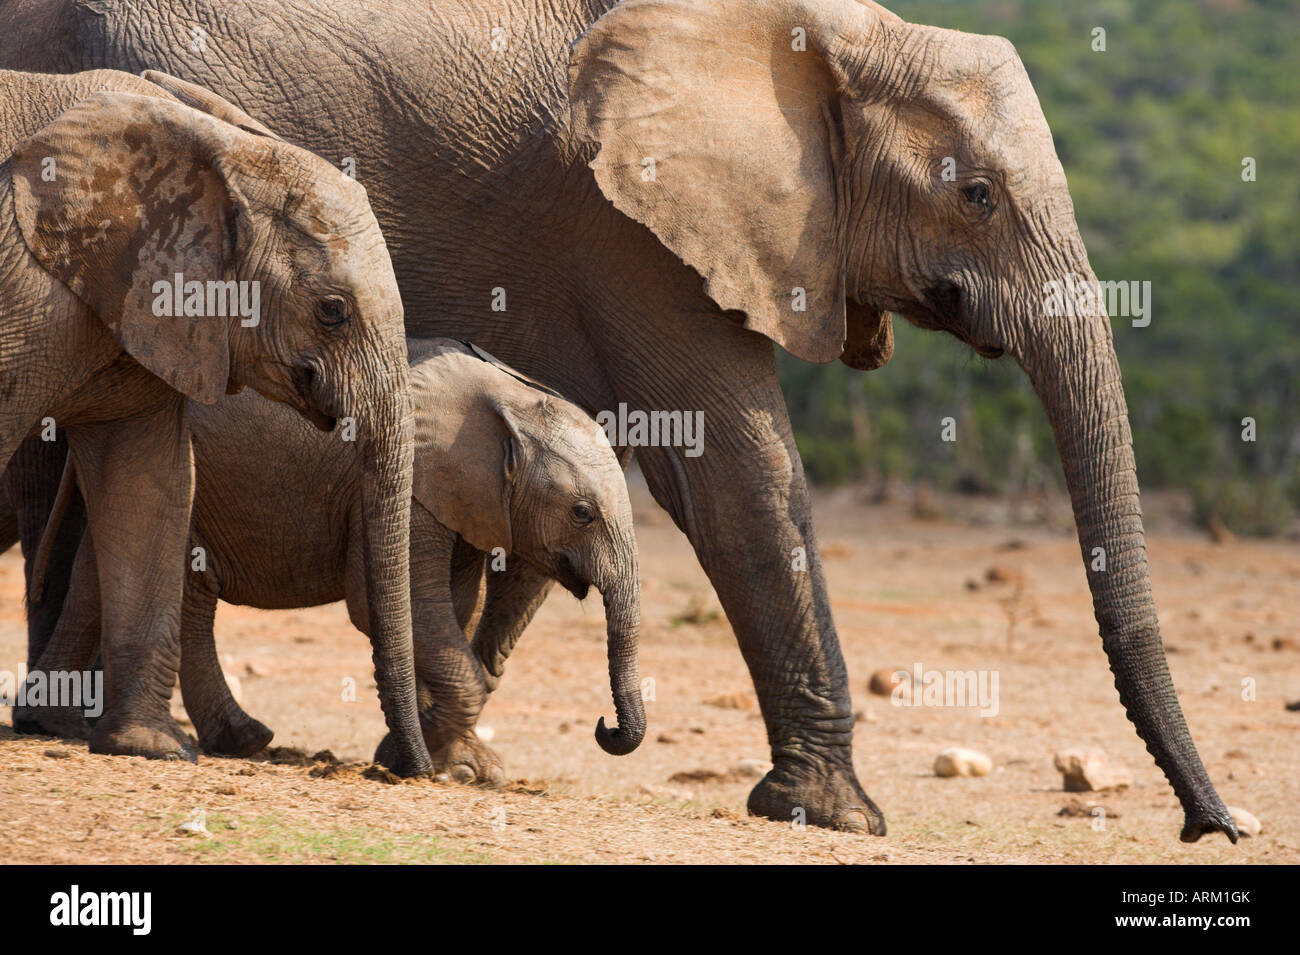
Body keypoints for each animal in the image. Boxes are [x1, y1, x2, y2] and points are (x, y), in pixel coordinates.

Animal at [0, 67, 428, 774]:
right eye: (332, 310)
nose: (406, 772)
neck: (222, 154)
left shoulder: (145, 303)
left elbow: (148, 483)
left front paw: (150, 747)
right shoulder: (28, 288)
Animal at [24, 340, 644, 779]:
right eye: (583, 513)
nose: (605, 727)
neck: (511, 399)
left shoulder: (464, 503)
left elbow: (454, 610)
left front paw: (441, 760)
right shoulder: (413, 487)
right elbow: (399, 610)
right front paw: (452, 767)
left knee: (107, 577)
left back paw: (57, 723)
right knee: (187, 591)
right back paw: (234, 740)